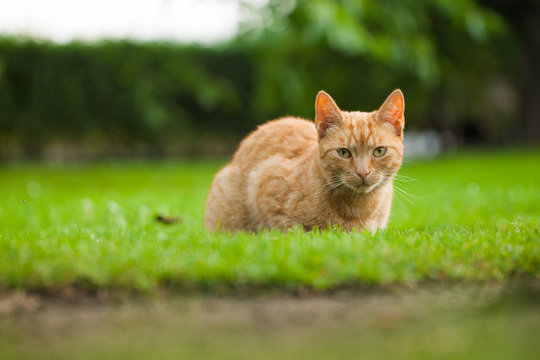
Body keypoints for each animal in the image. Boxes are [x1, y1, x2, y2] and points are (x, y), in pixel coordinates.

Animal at [205, 88, 402, 232]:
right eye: (344, 153)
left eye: (379, 151)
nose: (363, 172)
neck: (359, 208)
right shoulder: (262, 183)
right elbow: (292, 230)